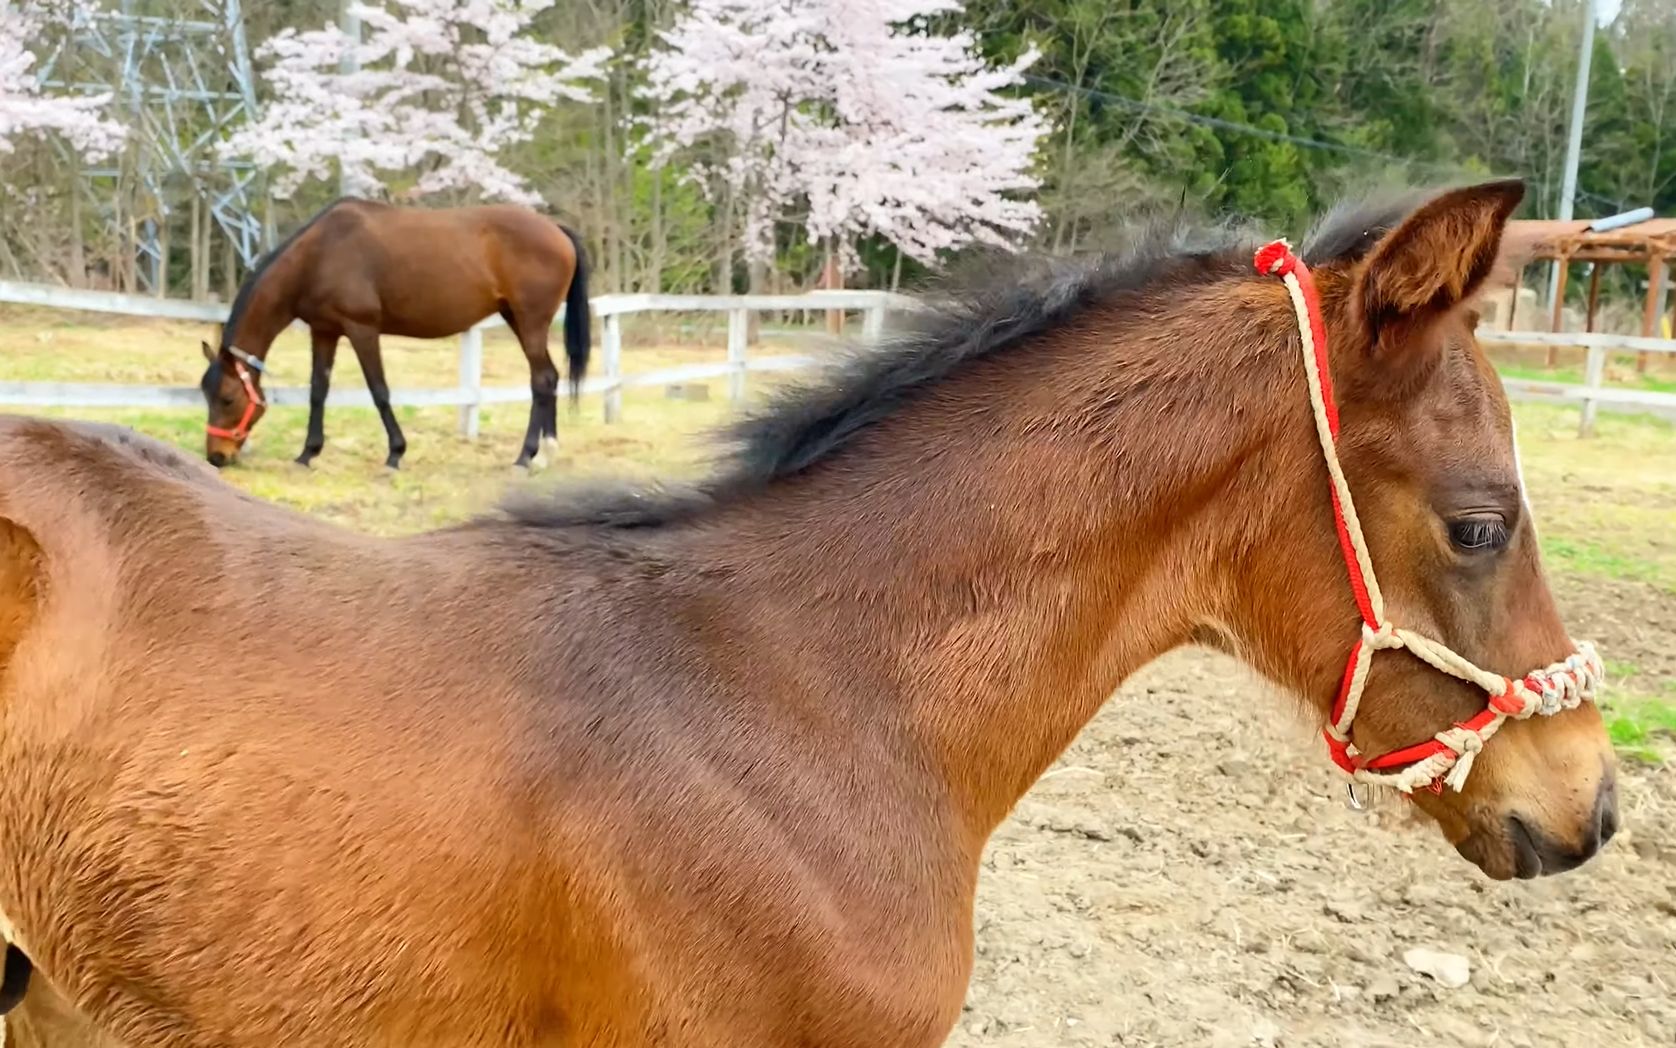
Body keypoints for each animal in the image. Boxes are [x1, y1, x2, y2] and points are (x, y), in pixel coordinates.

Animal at [196, 197, 593, 469]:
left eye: (227, 399)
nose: (216, 456)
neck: (319, 256)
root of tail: (556, 229)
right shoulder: (324, 332)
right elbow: (318, 391)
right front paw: (308, 453)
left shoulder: (362, 330)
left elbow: (379, 391)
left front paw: (395, 454)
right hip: (516, 318)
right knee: (549, 377)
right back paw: (546, 452)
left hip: (530, 321)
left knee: (541, 380)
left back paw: (526, 457)